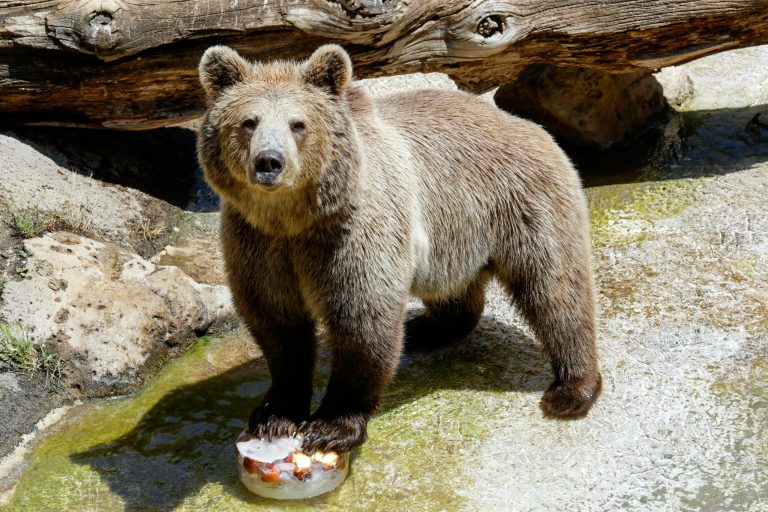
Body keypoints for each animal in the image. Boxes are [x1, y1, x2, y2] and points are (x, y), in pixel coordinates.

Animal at [196, 44, 602, 453]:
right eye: (249, 121)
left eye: (298, 124)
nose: (269, 161)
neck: (294, 219)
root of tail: (524, 124)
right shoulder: (259, 244)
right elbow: (277, 324)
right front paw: (274, 414)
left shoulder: (350, 235)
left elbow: (363, 323)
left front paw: (331, 426)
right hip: (452, 238)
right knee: (457, 289)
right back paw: (427, 328)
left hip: (522, 203)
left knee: (555, 290)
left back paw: (572, 389)